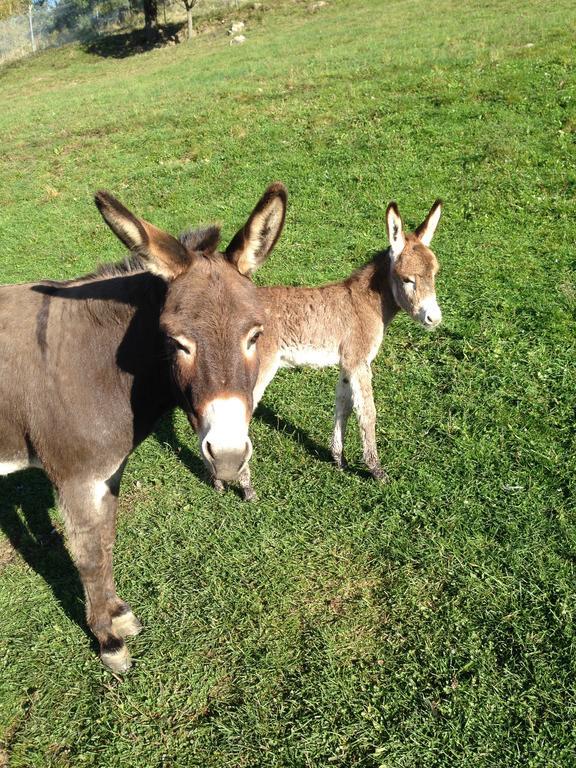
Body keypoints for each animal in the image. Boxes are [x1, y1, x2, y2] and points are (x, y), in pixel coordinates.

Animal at [0, 183, 288, 668]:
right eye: (176, 342)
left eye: (255, 335)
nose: (229, 457)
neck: (97, 364)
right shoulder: (75, 479)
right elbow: (88, 556)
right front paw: (108, 642)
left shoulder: (107, 473)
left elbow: (106, 540)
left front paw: (118, 615)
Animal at [233, 200, 440, 498]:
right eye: (407, 280)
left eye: (435, 274)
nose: (434, 319)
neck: (367, 302)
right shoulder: (359, 361)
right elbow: (367, 413)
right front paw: (376, 470)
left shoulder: (346, 364)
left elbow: (343, 406)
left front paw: (338, 460)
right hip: (261, 367)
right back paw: (246, 487)